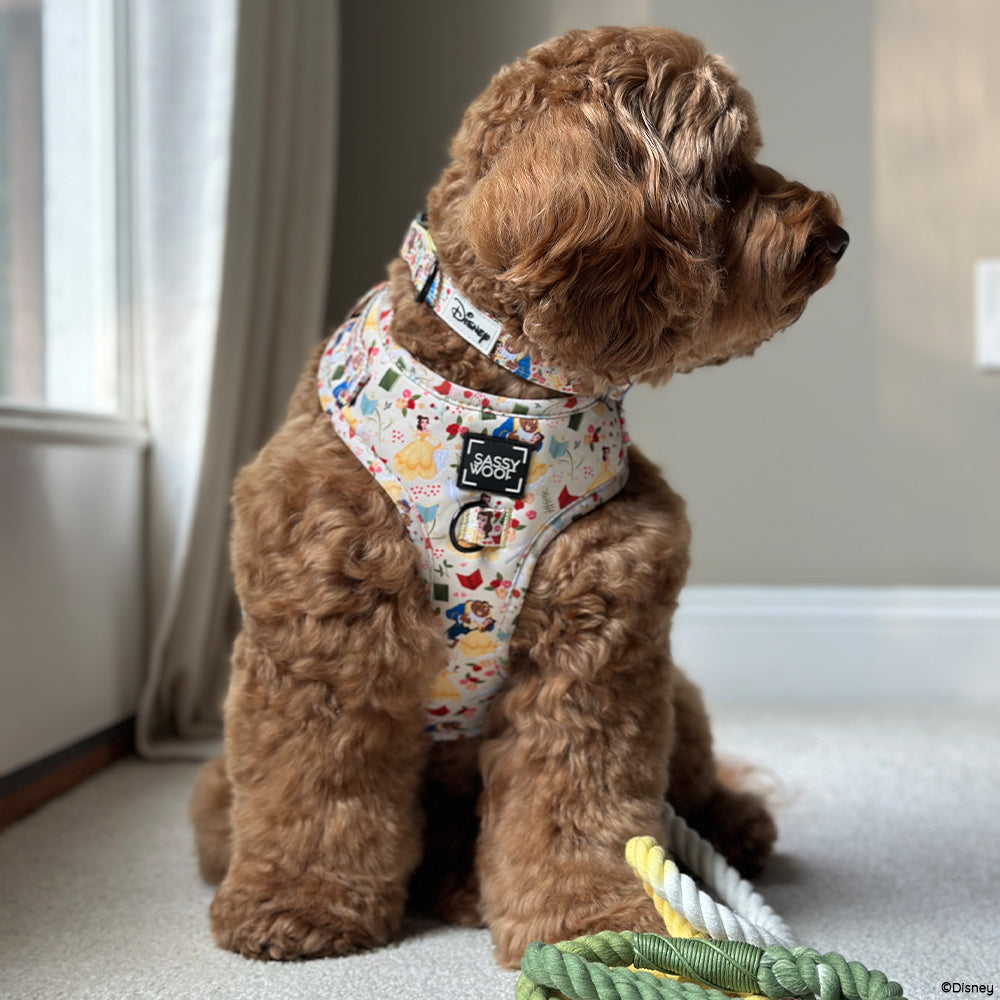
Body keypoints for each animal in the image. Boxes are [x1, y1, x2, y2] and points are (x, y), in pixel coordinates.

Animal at [188, 27, 844, 968]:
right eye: (725, 173)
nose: (837, 235)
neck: (506, 393)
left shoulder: (594, 649)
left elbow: (573, 806)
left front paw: (590, 922)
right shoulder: (325, 636)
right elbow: (312, 783)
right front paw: (296, 901)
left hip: (674, 692)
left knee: (694, 783)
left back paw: (729, 826)